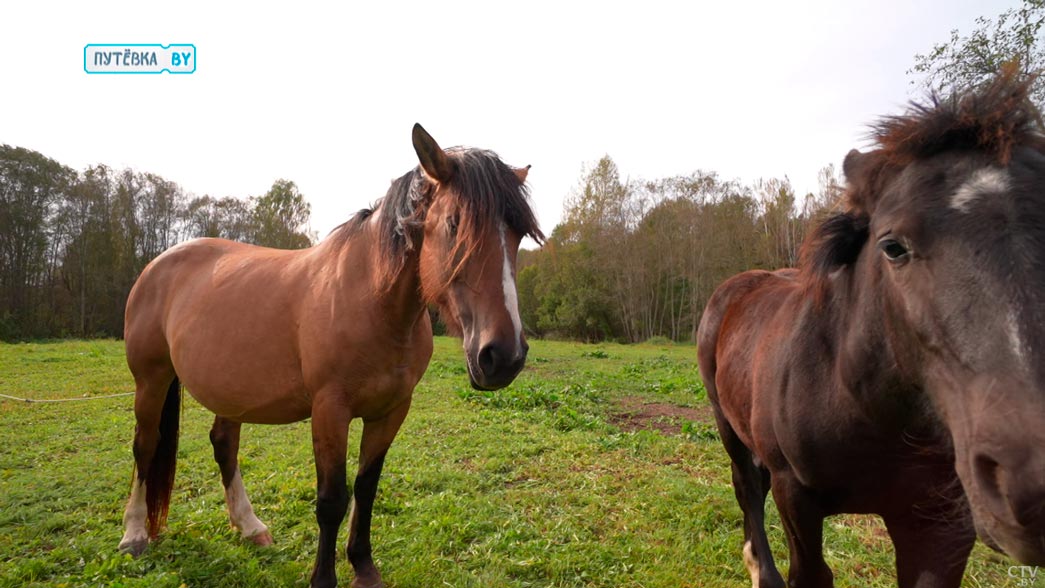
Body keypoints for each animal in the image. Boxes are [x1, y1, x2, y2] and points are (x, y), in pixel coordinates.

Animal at [120, 124, 547, 588]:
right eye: (454, 223)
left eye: (518, 234)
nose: (503, 356)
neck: (371, 301)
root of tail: (157, 265)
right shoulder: (330, 410)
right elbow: (331, 500)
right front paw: (324, 578)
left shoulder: (391, 411)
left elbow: (366, 487)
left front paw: (363, 566)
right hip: (152, 380)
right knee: (145, 446)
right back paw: (134, 535)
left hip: (230, 391)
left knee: (224, 445)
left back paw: (250, 526)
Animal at [698, 71, 1045, 584]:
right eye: (893, 247)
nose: (1031, 483)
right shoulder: (795, 497)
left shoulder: (942, 526)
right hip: (728, 425)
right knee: (748, 489)